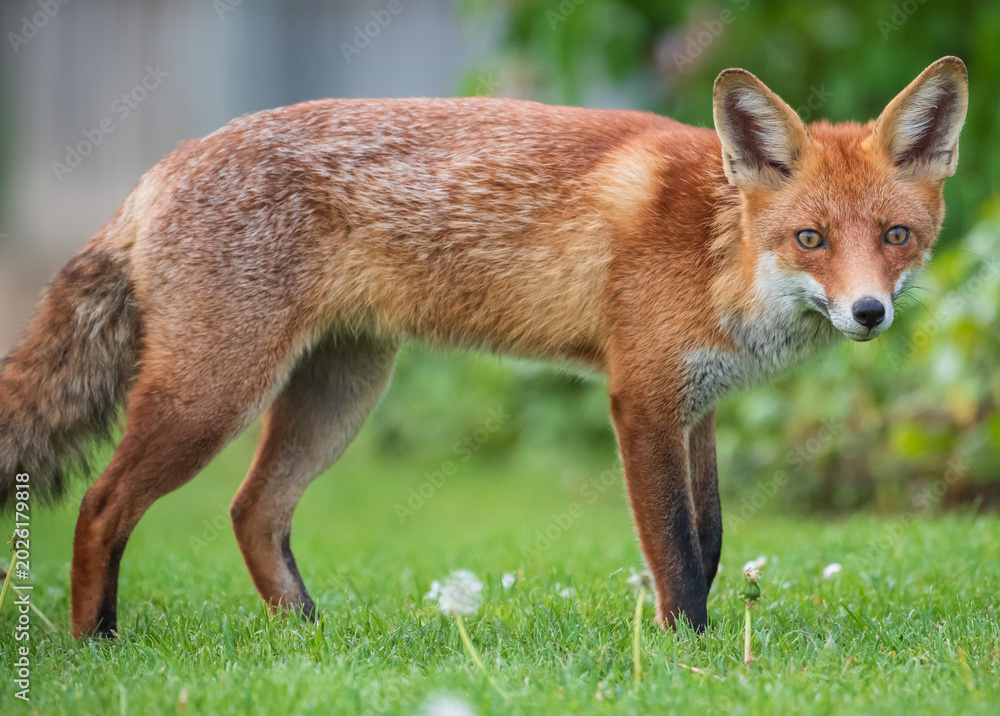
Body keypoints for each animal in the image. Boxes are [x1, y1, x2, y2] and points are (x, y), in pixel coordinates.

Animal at [0, 57, 967, 638]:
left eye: (896, 236)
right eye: (811, 239)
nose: (869, 313)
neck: (718, 249)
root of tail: (158, 169)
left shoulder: (697, 409)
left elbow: (714, 539)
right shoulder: (643, 399)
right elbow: (677, 551)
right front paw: (688, 653)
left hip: (341, 391)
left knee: (252, 511)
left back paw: (307, 639)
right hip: (213, 394)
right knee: (102, 505)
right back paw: (98, 644)